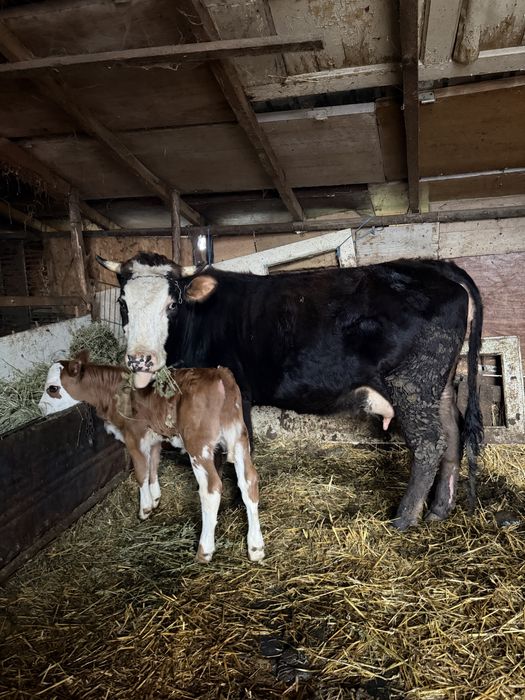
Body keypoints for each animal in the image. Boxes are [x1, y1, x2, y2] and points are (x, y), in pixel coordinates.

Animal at [38, 352, 265, 564]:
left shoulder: (134, 437)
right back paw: (255, 547)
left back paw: (204, 550)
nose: (40, 409)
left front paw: (145, 509)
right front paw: (155, 498)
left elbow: (141, 472)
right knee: (248, 481)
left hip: (198, 446)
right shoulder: (154, 437)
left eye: (53, 388)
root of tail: (219, 374)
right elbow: (153, 466)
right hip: (239, 437)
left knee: (211, 489)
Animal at [96, 253, 484, 531]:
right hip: (437, 383)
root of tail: (431, 265)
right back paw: (439, 509)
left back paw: (405, 517)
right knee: (452, 432)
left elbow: (232, 453)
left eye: (172, 304)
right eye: (123, 304)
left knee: (430, 442)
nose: (140, 359)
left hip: (412, 382)